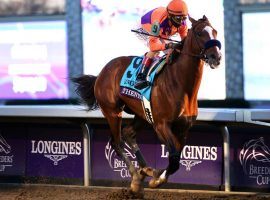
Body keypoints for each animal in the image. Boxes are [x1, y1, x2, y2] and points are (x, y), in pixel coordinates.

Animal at [72, 15, 221, 195]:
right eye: (200, 33)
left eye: (215, 31)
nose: (216, 57)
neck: (181, 85)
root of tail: (102, 72)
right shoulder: (161, 125)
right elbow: (174, 159)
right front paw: (157, 180)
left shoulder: (183, 128)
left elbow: (176, 158)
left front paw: (157, 175)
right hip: (112, 111)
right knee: (117, 142)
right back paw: (137, 178)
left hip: (141, 114)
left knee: (128, 133)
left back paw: (146, 170)